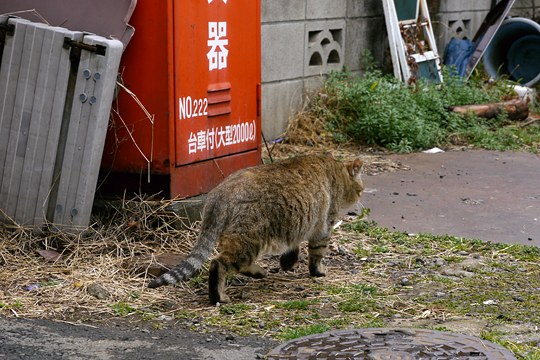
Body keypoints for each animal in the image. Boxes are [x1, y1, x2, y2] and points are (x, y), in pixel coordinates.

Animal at [150, 155, 364, 304]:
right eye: (360, 189)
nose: (361, 196)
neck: (336, 170)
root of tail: (219, 193)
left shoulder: (298, 224)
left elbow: (293, 246)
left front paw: (288, 261)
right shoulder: (323, 226)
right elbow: (317, 253)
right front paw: (317, 271)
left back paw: (258, 272)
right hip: (249, 239)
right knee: (218, 263)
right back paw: (218, 296)